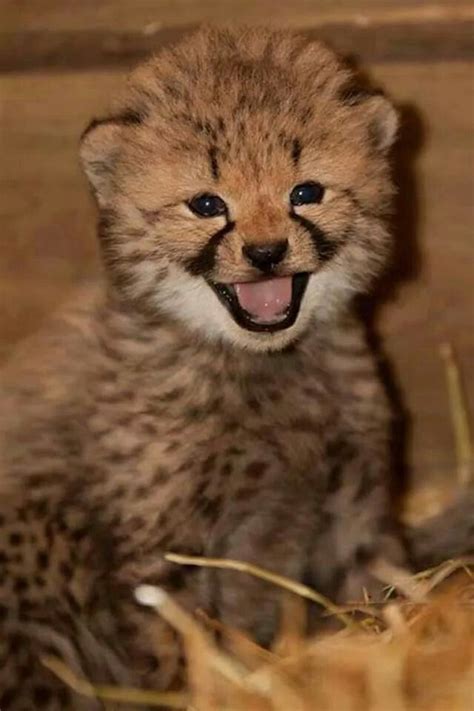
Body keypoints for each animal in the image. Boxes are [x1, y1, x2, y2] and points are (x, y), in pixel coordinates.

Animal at [0, 25, 470, 708]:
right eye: (206, 203)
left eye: (306, 192)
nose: (267, 253)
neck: (262, 367)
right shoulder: (163, 554)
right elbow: (175, 649)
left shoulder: (353, 501)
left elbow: (373, 584)